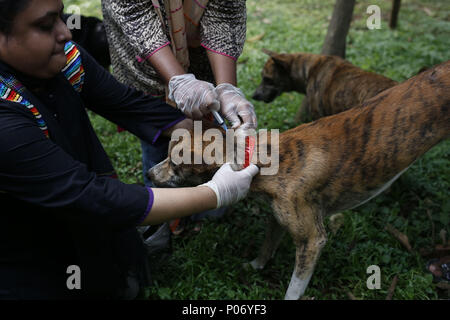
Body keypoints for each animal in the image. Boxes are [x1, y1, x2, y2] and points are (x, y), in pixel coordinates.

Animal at [149, 60, 450, 300]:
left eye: (176, 164)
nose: (149, 174)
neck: (258, 157)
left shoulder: (312, 240)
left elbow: (294, 288)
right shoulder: (277, 216)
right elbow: (267, 246)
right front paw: (256, 266)